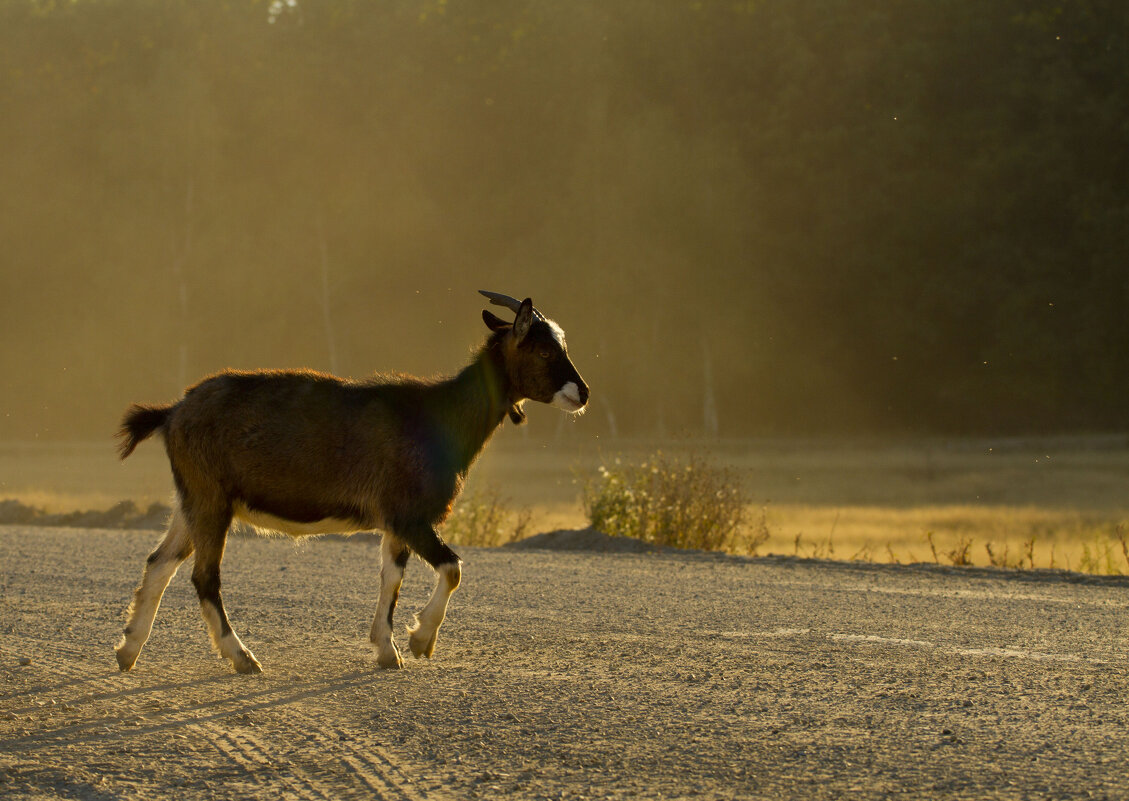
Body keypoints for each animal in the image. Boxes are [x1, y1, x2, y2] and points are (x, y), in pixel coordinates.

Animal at [114, 291, 591, 673]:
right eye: (544, 351)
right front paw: (421, 641)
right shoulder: (409, 514)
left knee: (160, 562)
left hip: (192, 498)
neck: (440, 415)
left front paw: (387, 650)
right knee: (204, 577)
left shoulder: (396, 523)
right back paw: (242, 658)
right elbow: (453, 568)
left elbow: (391, 577)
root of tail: (173, 412)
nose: (582, 393)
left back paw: (128, 650)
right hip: (212, 500)